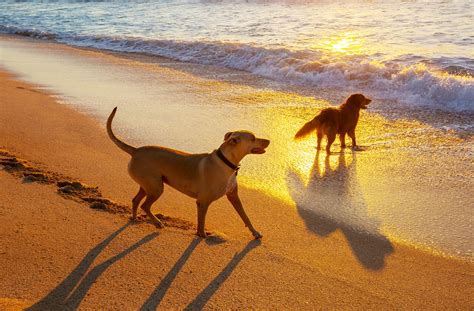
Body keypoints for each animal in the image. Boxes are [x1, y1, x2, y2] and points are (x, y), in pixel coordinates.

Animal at [107, 108, 270, 240]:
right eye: (253, 138)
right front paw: (202, 235)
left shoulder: (234, 197)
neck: (225, 162)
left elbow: (245, 217)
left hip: (148, 185)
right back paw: (157, 222)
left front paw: (255, 232)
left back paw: (134, 217)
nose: (269, 140)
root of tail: (136, 150)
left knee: (136, 201)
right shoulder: (203, 202)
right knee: (145, 205)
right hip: (156, 187)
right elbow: (201, 222)